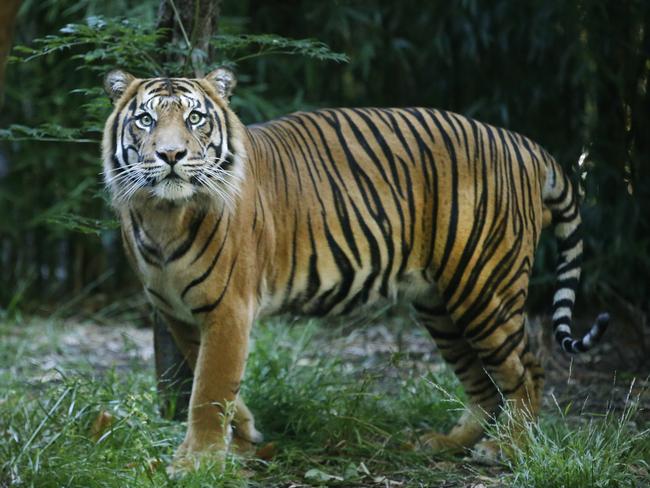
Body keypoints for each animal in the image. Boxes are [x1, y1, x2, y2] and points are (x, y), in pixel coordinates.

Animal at [101, 67, 608, 468]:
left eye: (195, 118)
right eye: (146, 119)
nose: (171, 156)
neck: (163, 215)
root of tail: (525, 144)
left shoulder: (228, 310)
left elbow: (208, 388)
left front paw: (198, 462)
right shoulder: (177, 312)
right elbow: (212, 381)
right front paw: (243, 440)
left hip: (484, 286)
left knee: (527, 369)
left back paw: (507, 448)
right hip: (441, 303)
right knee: (482, 381)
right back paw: (448, 442)